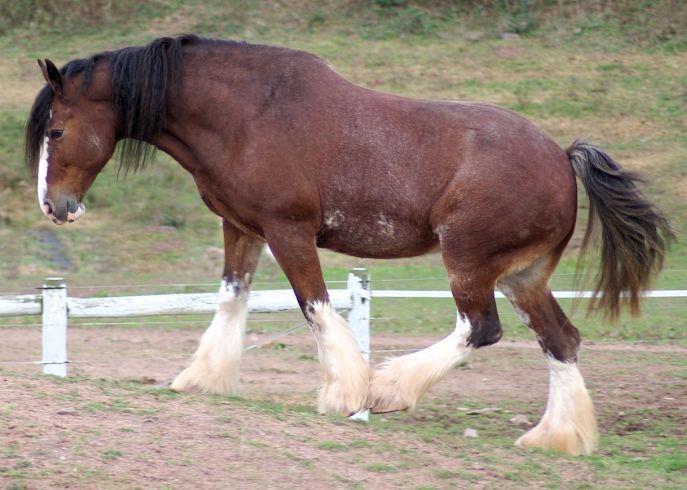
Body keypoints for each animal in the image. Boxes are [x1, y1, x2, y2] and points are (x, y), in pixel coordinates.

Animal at [25, 35, 672, 456]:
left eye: (56, 130)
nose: (55, 207)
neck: (249, 115)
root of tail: (562, 157)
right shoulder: (243, 229)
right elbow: (232, 299)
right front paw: (200, 378)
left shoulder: (288, 230)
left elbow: (314, 306)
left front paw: (346, 391)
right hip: (523, 275)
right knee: (560, 339)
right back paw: (557, 437)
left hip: (468, 261)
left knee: (479, 328)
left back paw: (389, 389)